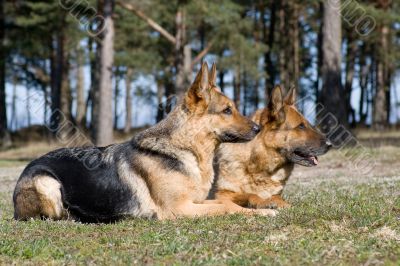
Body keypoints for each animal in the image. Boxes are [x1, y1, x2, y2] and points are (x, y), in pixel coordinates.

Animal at [11, 62, 276, 222]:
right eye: (227, 110)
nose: (258, 128)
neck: (186, 149)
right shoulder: (180, 209)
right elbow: (225, 206)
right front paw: (262, 212)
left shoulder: (197, 200)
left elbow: (223, 200)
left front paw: (263, 207)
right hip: (47, 184)